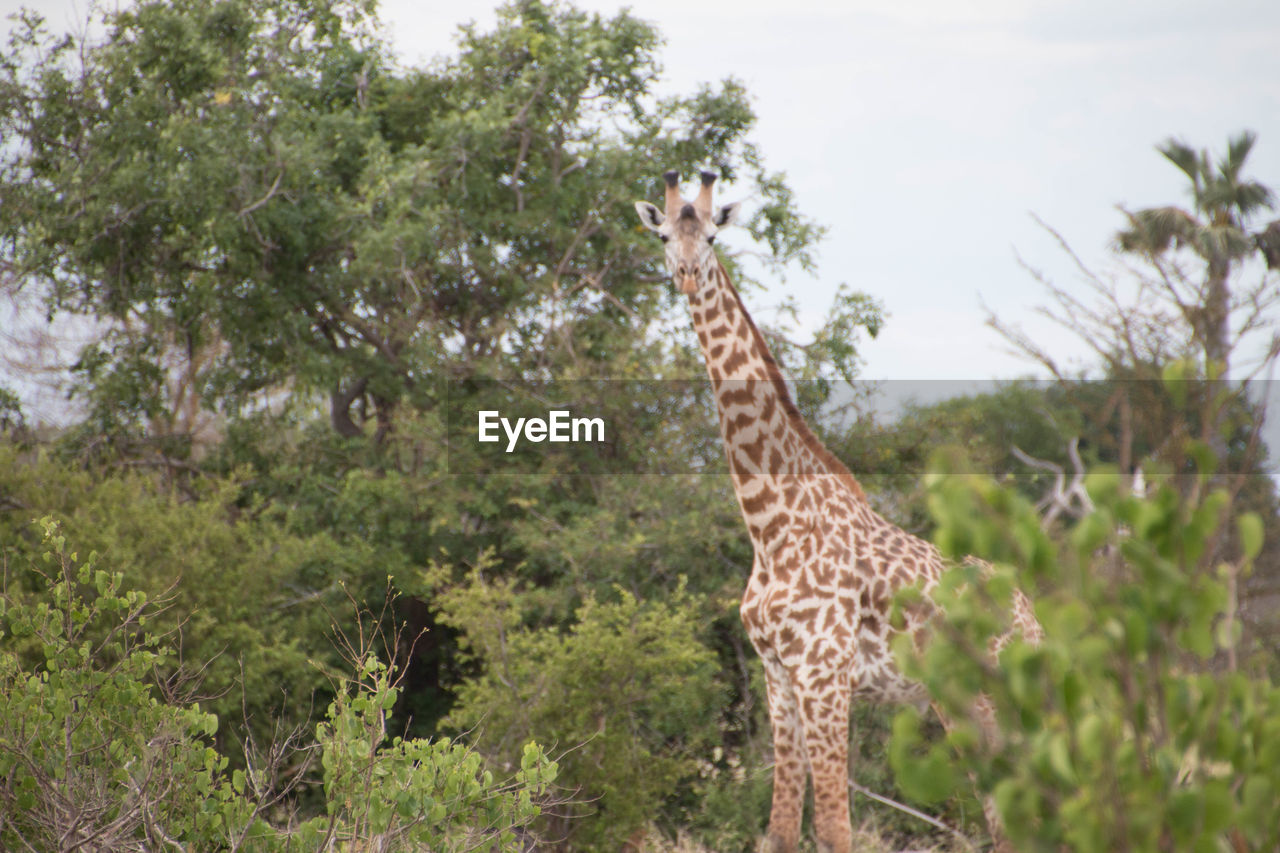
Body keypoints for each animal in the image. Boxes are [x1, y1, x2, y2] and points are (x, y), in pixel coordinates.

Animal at [632, 169, 1039, 845]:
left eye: (714, 235)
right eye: (664, 234)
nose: (687, 274)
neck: (770, 523)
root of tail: (1034, 614)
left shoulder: (824, 677)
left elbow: (832, 829)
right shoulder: (778, 679)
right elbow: (778, 832)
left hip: (1002, 701)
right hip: (961, 704)